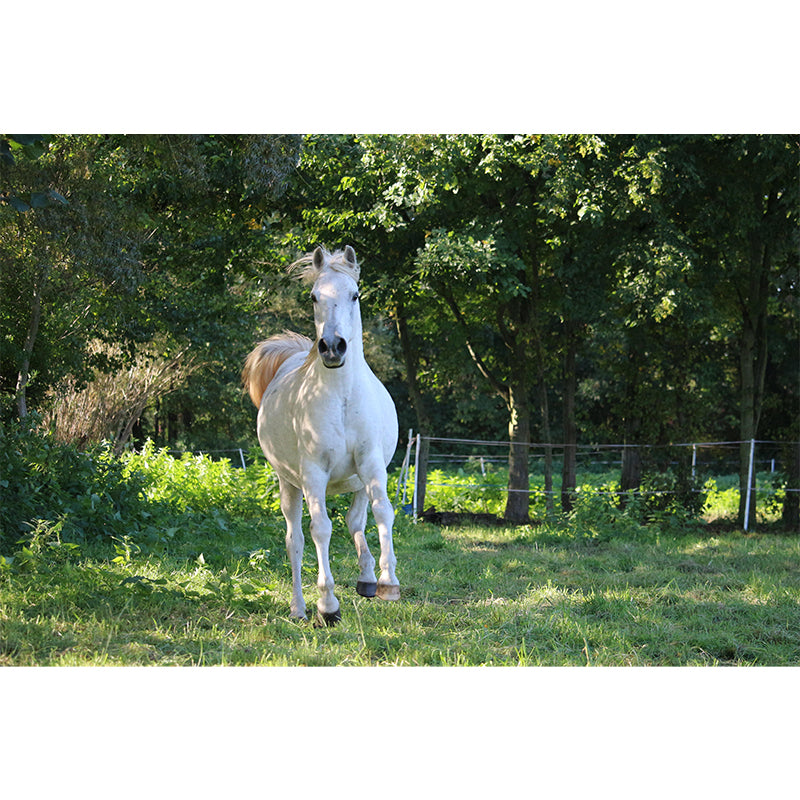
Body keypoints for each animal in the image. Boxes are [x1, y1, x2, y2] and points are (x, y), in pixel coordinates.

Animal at [242, 245, 400, 626]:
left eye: (355, 294)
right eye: (314, 296)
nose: (332, 347)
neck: (341, 397)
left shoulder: (371, 463)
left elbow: (382, 512)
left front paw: (388, 582)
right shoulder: (314, 473)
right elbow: (321, 530)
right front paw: (327, 605)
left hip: (356, 482)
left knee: (356, 521)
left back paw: (367, 578)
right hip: (289, 484)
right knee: (296, 540)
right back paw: (299, 607)